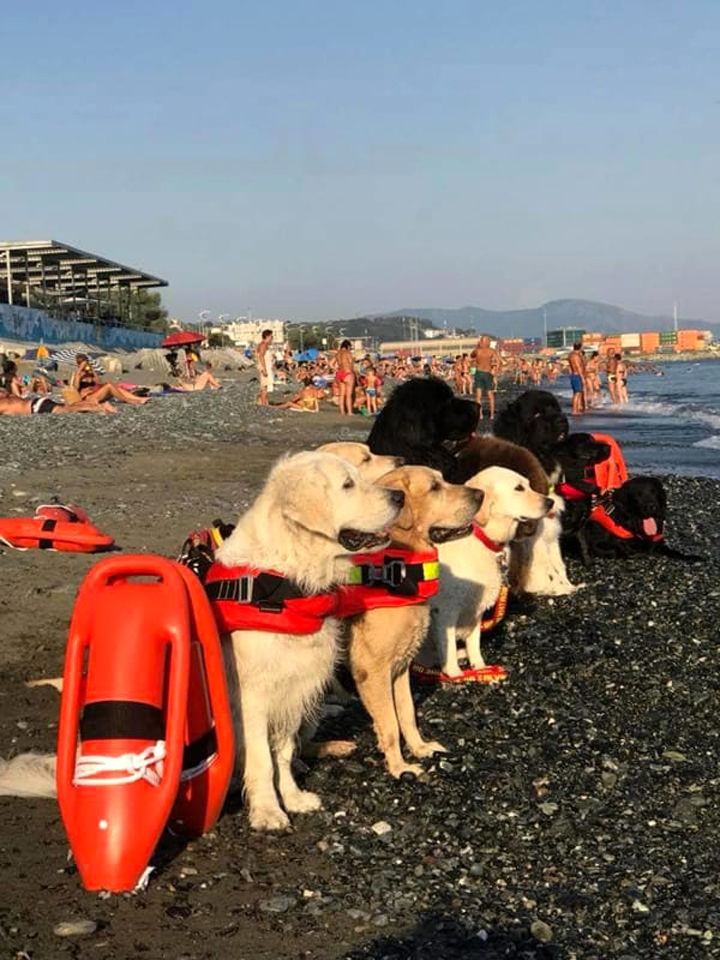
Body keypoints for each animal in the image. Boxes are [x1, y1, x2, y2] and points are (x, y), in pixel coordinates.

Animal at [348, 466, 484, 780]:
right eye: (434, 487)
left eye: (443, 479)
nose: (481, 493)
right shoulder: (372, 672)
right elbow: (389, 724)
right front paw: (399, 767)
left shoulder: (400, 668)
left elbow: (407, 713)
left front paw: (420, 748)